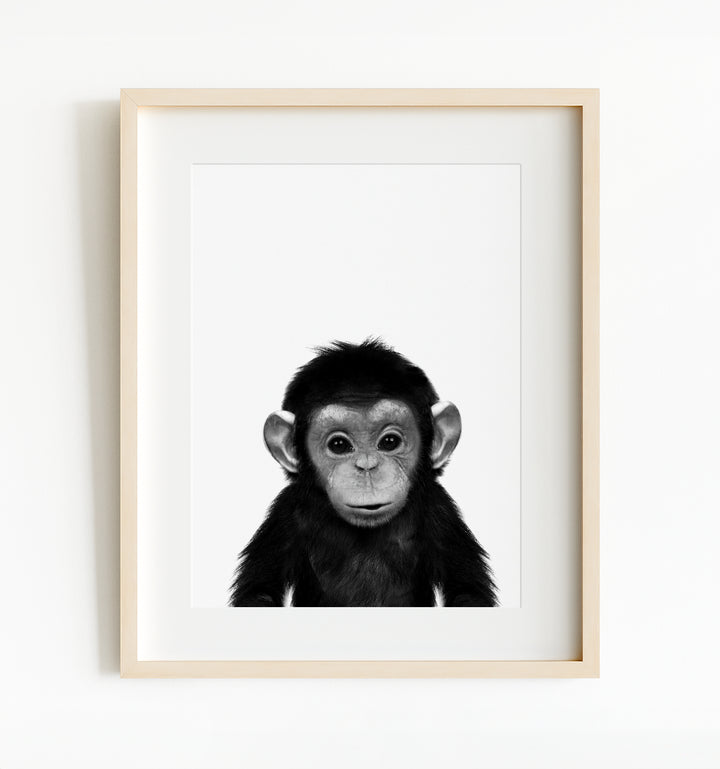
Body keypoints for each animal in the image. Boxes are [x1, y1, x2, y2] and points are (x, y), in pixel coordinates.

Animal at [229, 339, 497, 607]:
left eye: (390, 442)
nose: (367, 467)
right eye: (338, 445)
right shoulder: (285, 514)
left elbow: (468, 591)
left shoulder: (441, 511)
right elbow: (259, 591)